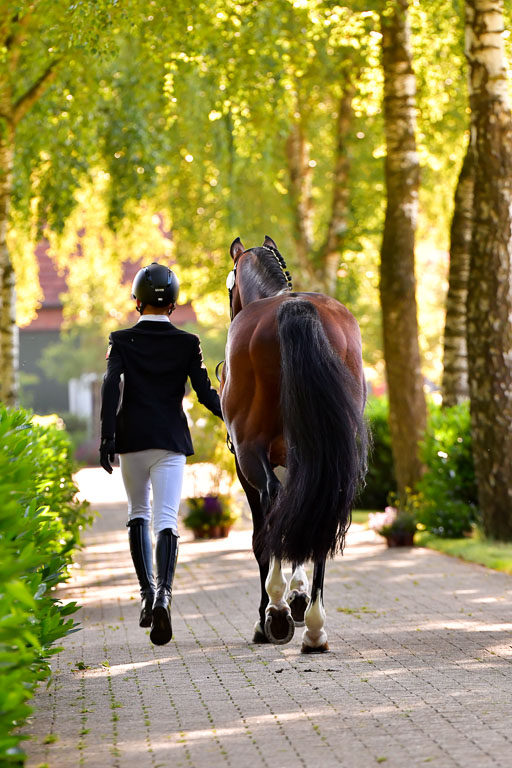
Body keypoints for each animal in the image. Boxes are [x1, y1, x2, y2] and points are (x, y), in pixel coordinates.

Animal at [220, 235, 368, 653]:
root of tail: (294, 307)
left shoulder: (246, 467)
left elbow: (264, 534)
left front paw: (276, 609)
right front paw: (299, 596)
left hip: (251, 454)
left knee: (272, 507)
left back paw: (276, 611)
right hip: (330, 450)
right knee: (322, 512)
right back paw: (315, 626)